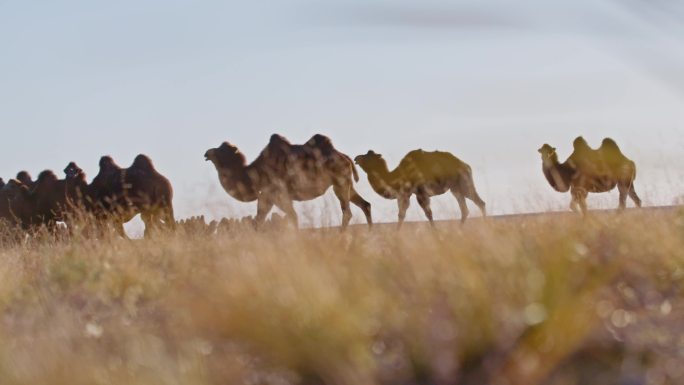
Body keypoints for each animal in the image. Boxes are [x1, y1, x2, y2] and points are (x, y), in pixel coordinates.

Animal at [352, 148, 486, 226]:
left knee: (480, 203)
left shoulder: (420, 192)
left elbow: (428, 213)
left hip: (463, 183)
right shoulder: (405, 194)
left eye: (368, 156)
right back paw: (459, 231)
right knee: (465, 209)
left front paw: (436, 235)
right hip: (455, 188)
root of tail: (466, 166)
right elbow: (401, 214)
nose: (356, 158)